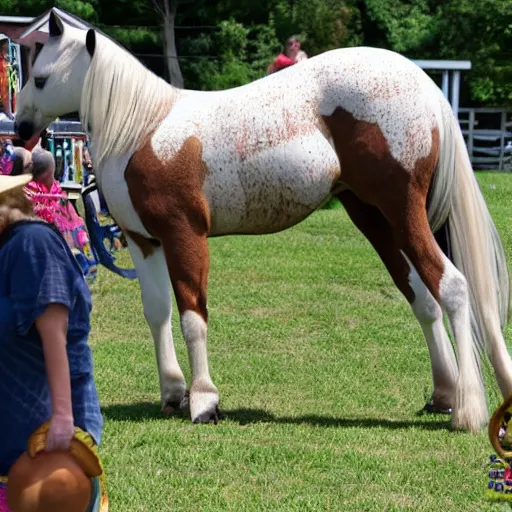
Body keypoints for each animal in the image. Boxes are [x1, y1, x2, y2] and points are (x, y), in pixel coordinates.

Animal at [15, 11, 512, 432]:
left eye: (40, 77)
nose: (20, 129)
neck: (143, 129)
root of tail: (423, 85)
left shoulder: (184, 234)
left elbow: (193, 315)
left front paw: (204, 401)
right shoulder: (143, 241)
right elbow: (157, 313)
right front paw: (173, 393)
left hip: (402, 210)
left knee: (452, 286)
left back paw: (467, 411)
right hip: (374, 217)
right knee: (422, 296)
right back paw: (445, 394)